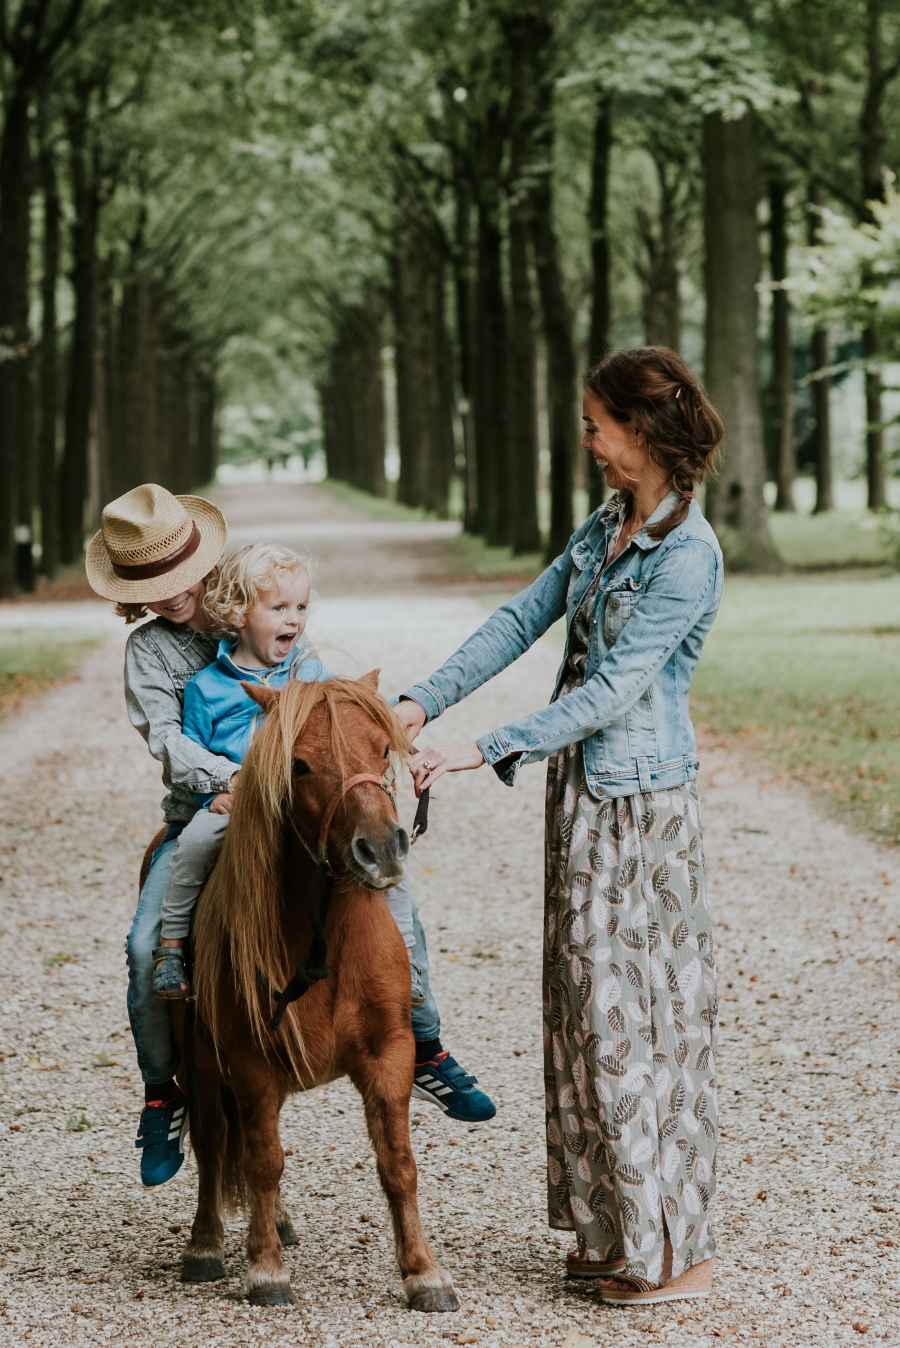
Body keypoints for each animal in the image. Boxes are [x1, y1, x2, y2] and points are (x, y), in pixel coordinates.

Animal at [149, 679, 458, 1310]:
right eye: (299, 764)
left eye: (382, 749)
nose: (380, 850)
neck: (326, 938)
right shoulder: (249, 1063)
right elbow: (262, 1161)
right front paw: (265, 1270)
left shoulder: (389, 1055)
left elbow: (398, 1163)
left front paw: (424, 1272)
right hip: (201, 1063)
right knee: (216, 1146)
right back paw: (206, 1245)